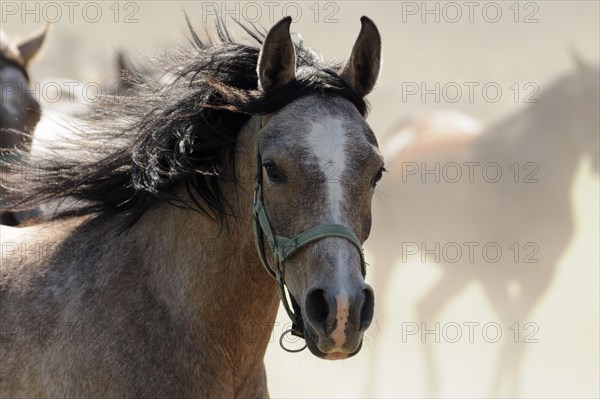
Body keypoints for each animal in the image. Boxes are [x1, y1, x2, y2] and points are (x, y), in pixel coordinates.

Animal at [372, 57, 596, 398]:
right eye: (589, 98)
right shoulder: (493, 275)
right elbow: (513, 343)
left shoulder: (540, 277)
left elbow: (516, 345)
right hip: (389, 251)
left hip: (459, 271)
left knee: (426, 309)